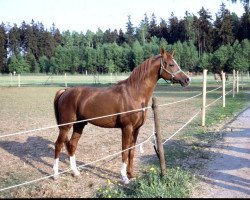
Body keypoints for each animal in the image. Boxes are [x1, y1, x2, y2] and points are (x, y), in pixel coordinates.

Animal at [52, 47, 189, 184]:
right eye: (171, 64)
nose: (186, 79)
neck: (134, 93)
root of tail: (66, 91)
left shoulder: (136, 129)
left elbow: (131, 151)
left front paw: (131, 174)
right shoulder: (126, 128)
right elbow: (124, 151)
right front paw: (124, 177)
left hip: (79, 125)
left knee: (72, 145)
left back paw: (75, 172)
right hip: (66, 126)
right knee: (58, 145)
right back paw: (55, 175)